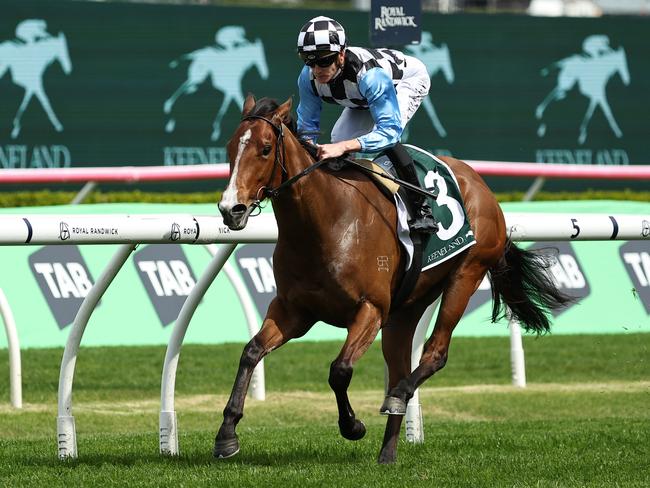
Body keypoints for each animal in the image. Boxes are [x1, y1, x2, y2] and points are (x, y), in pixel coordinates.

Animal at [214, 93, 568, 464]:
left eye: (266, 148)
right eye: (230, 148)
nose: (231, 209)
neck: (323, 223)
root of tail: (480, 184)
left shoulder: (370, 309)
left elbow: (340, 370)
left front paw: (352, 425)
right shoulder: (294, 311)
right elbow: (251, 352)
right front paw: (227, 434)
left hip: (466, 273)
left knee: (434, 353)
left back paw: (397, 397)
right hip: (406, 309)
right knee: (400, 365)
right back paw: (388, 451)